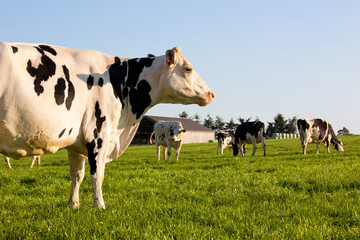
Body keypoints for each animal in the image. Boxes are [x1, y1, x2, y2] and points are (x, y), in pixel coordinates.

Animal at [0, 41, 214, 208]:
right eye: (188, 69)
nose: (211, 93)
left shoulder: (76, 141)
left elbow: (76, 174)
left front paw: (73, 204)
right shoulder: (98, 134)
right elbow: (97, 174)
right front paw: (99, 205)